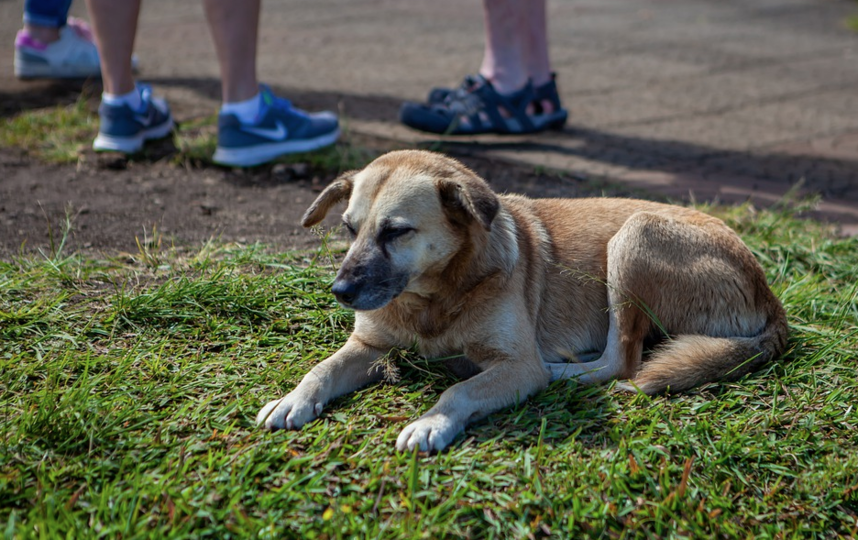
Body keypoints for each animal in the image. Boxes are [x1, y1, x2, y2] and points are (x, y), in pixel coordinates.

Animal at [256, 148, 788, 452]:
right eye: (349, 228)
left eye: (397, 231)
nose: (340, 292)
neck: (435, 298)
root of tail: (768, 294)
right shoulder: (368, 346)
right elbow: (321, 369)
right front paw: (292, 399)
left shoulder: (515, 364)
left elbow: (460, 391)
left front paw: (432, 422)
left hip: (633, 237)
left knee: (621, 360)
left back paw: (562, 372)